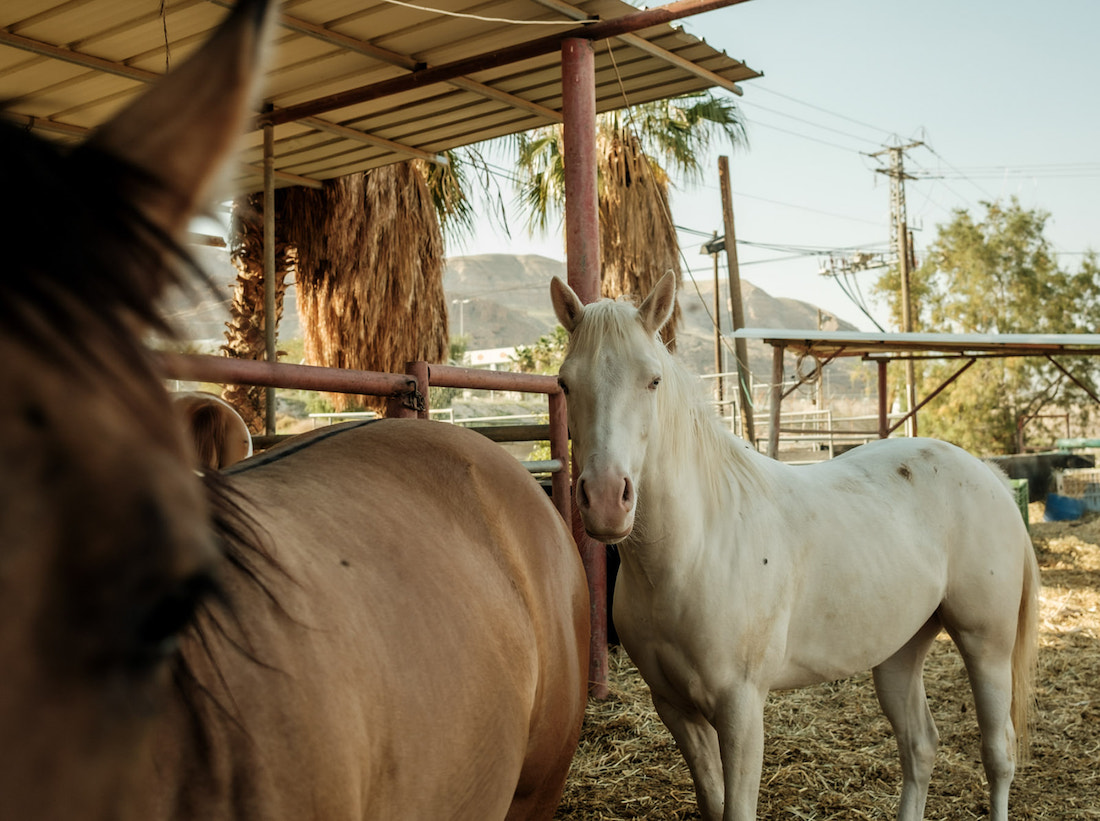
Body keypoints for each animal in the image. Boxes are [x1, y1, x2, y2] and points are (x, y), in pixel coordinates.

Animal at [550, 272, 1038, 818]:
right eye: (565, 383)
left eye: (652, 380)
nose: (606, 500)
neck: (695, 550)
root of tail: (989, 475)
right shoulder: (676, 710)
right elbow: (712, 804)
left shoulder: (740, 709)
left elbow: (737, 809)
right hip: (899, 652)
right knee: (920, 747)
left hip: (986, 645)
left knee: (998, 754)